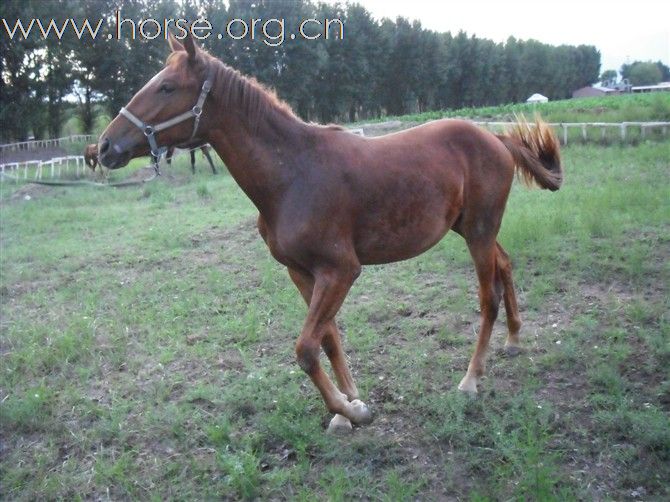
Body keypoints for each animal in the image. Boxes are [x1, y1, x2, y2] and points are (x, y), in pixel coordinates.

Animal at [98, 34, 560, 432]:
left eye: (167, 87)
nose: (103, 147)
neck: (294, 174)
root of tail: (496, 138)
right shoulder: (302, 273)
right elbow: (329, 339)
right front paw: (348, 405)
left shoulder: (340, 271)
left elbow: (306, 347)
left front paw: (352, 411)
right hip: (471, 229)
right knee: (505, 264)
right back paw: (514, 339)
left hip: (479, 232)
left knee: (488, 298)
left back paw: (470, 380)